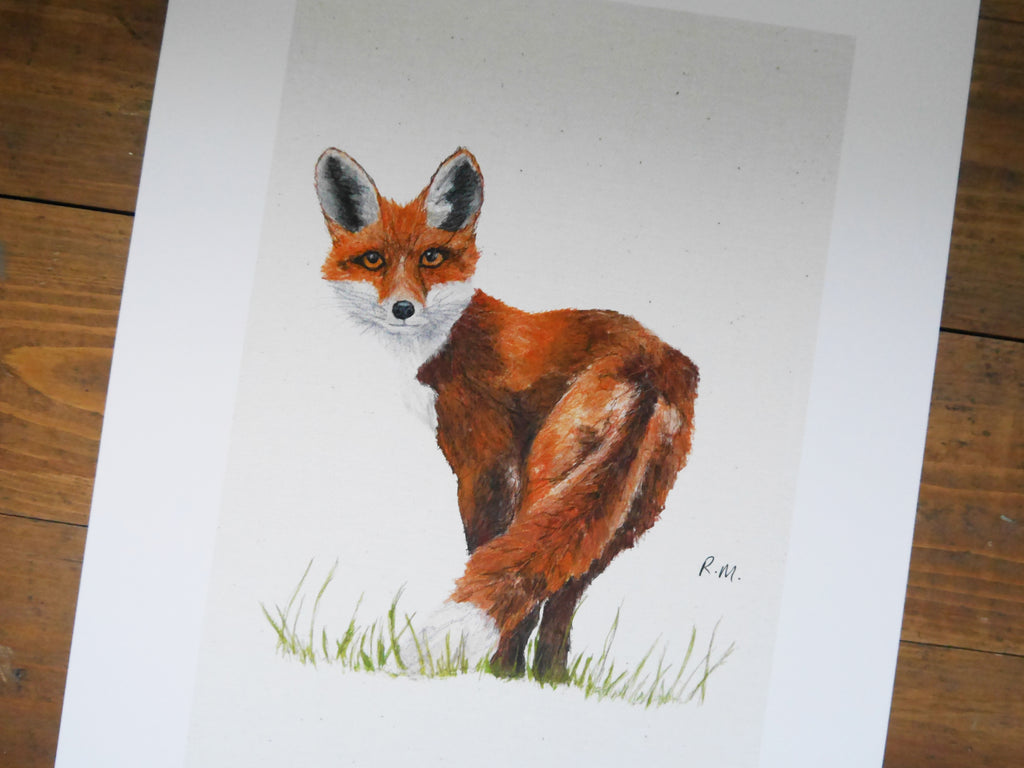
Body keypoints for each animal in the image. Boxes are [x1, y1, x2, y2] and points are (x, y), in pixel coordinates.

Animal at [315, 147, 698, 680]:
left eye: (432, 257)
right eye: (373, 260)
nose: (403, 309)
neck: (447, 338)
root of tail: (649, 362)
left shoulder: (486, 465)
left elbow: (485, 555)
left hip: (549, 480)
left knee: (534, 592)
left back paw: (500, 673)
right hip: (629, 511)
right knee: (561, 596)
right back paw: (547, 681)